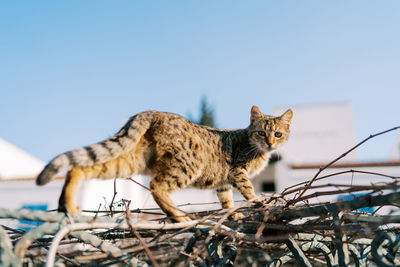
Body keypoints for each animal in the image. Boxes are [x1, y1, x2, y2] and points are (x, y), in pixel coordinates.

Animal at [36, 105, 292, 223]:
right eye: (261, 133)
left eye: (278, 134)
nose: (270, 143)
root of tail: (153, 111)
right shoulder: (238, 171)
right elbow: (248, 191)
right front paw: (261, 204)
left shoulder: (223, 183)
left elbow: (227, 200)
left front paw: (233, 215)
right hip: (188, 164)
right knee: (157, 187)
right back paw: (178, 217)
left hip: (128, 160)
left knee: (80, 167)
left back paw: (69, 204)